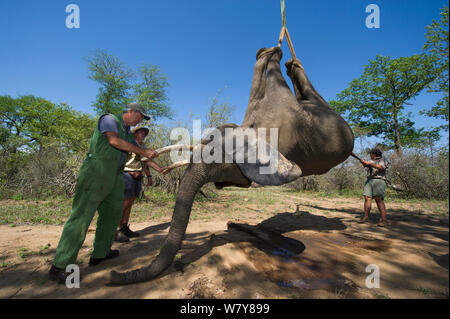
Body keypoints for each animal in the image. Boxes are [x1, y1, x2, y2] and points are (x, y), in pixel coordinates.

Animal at [110, 45, 356, 284]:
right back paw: (290, 63)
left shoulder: (288, 118)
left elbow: (274, 87)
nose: (114, 274)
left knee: (310, 93)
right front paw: (266, 53)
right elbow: (258, 90)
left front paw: (270, 53)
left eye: (211, 152)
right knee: (307, 93)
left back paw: (291, 63)